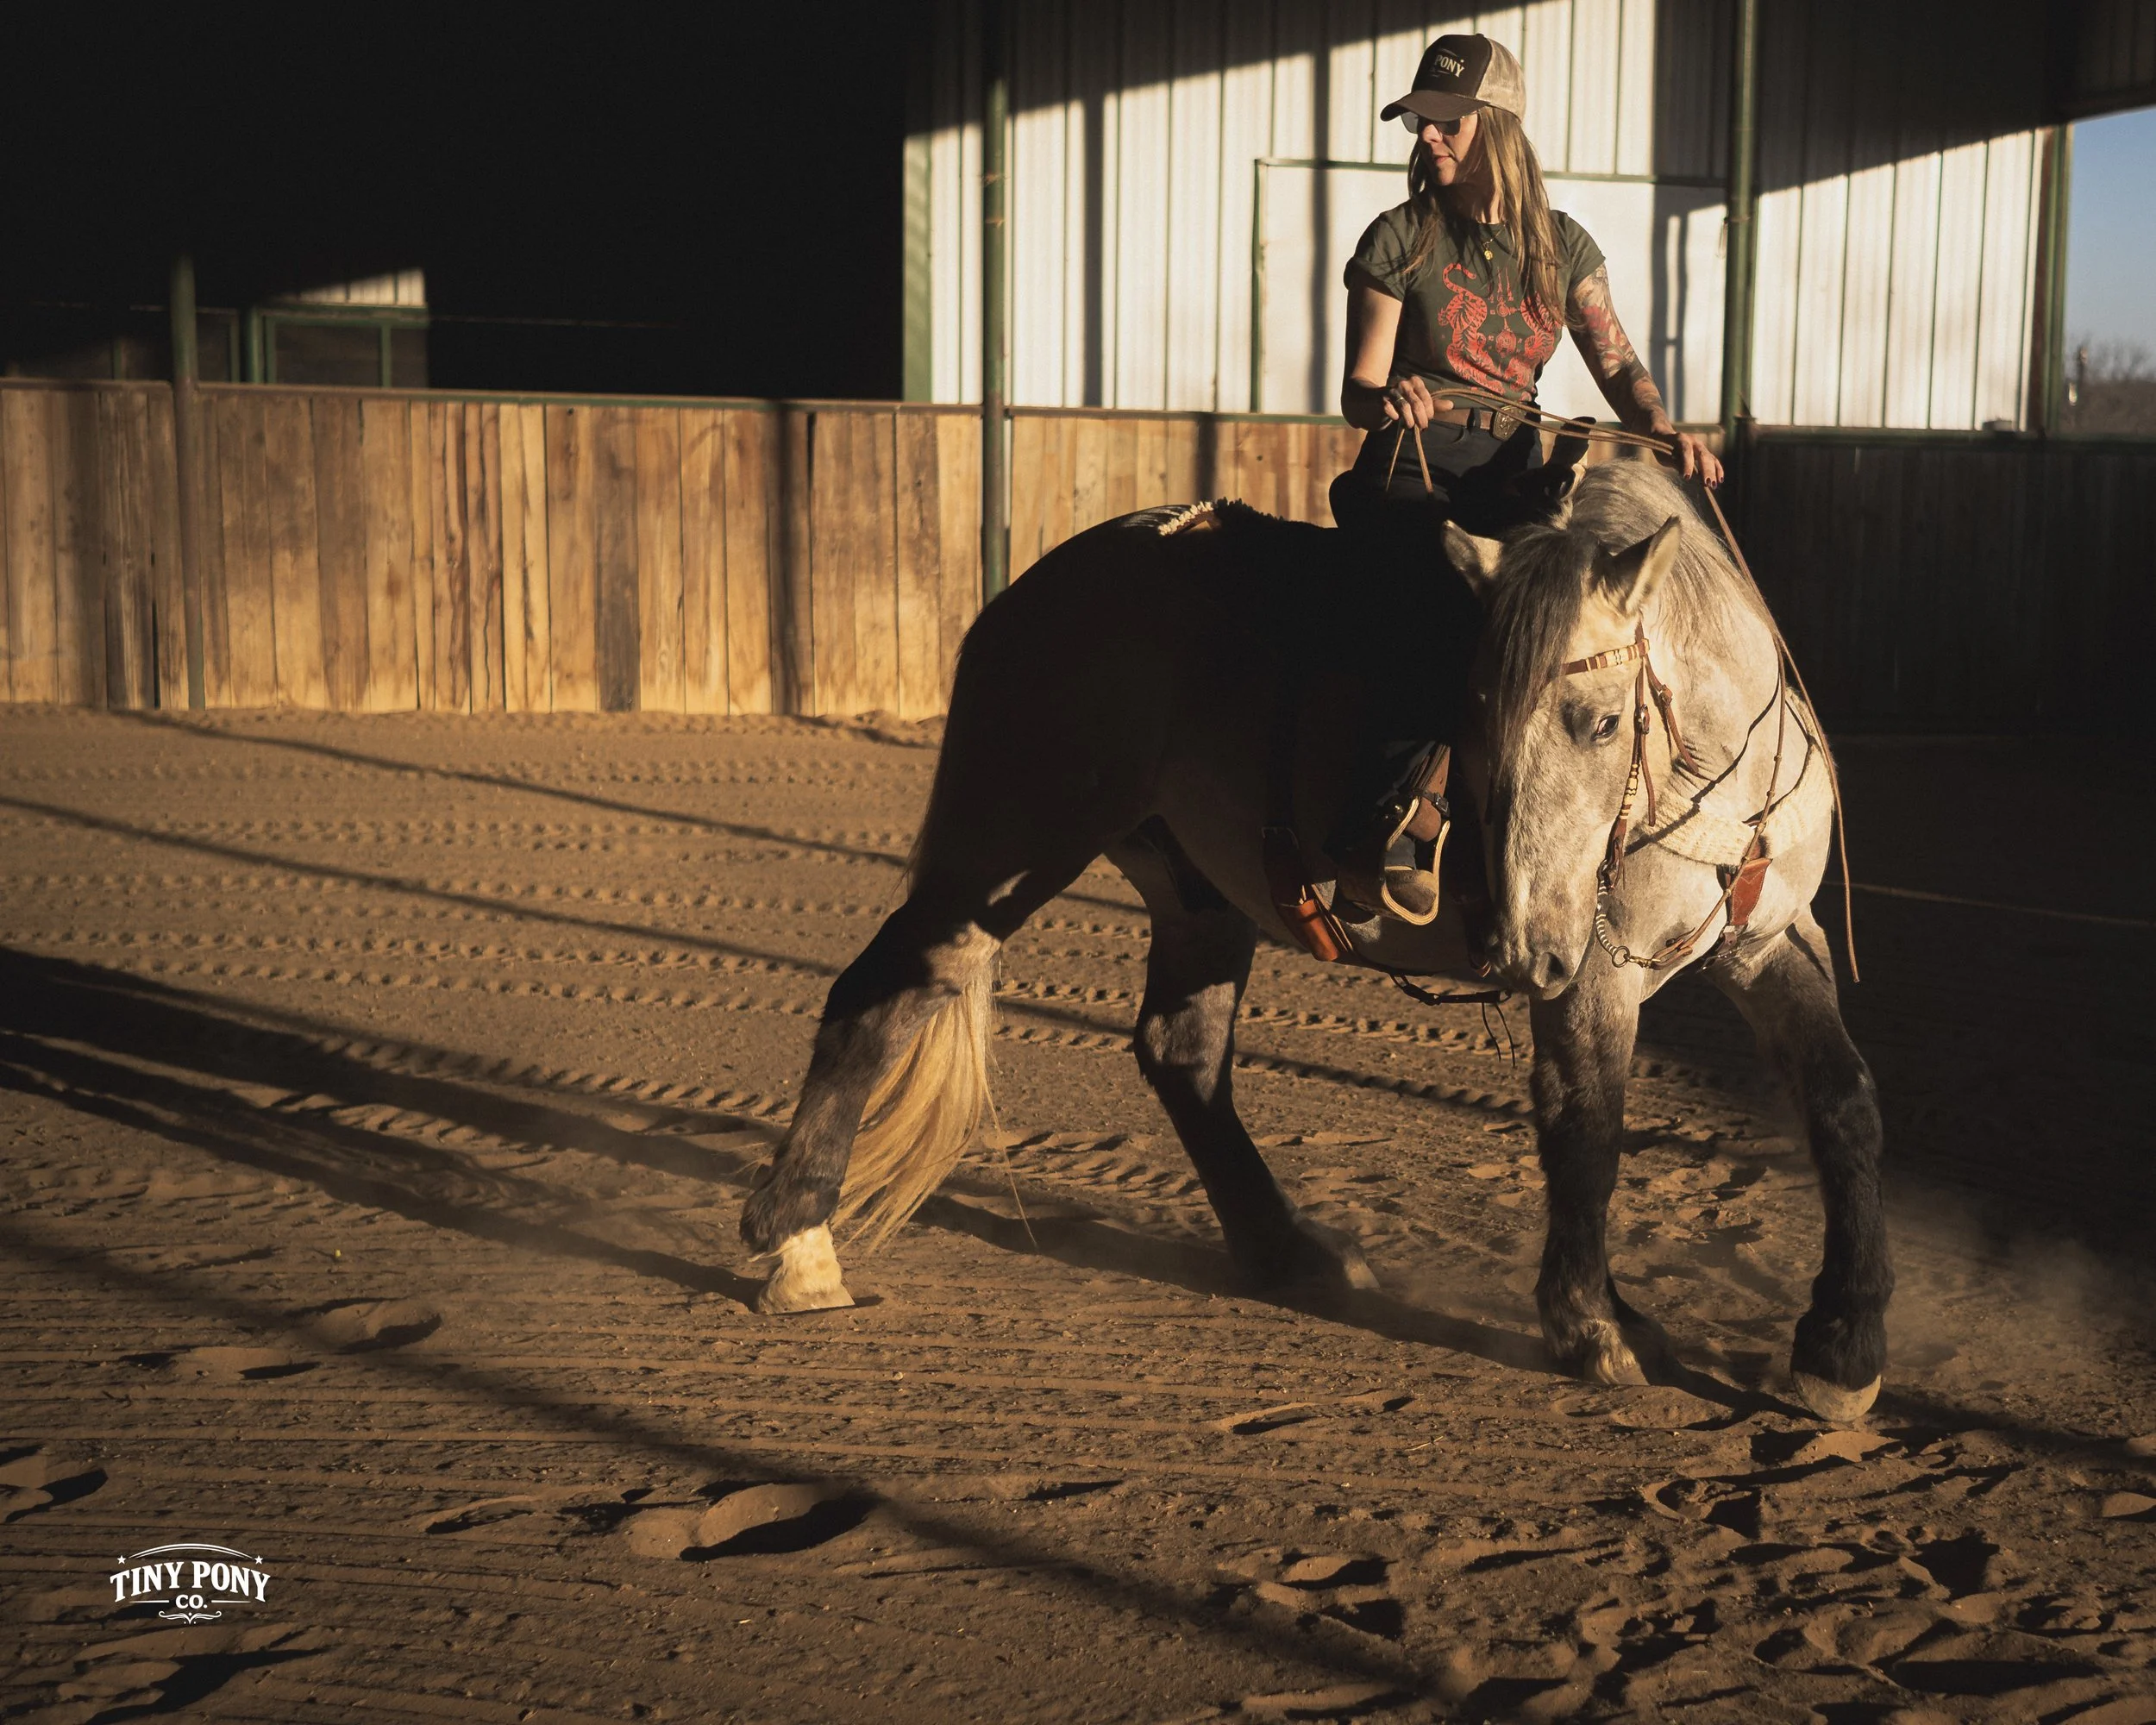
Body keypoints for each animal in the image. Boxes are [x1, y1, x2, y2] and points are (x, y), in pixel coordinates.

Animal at [738, 458, 1890, 1425]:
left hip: (1193, 892)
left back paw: (1289, 1251)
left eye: (1598, 721)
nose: (1518, 951)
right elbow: (1587, 1124)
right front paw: (1591, 1327)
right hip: (1004, 846)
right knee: (881, 993)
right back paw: (799, 1246)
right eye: (1469, 723)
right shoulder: (1595, 968)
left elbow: (1842, 1099)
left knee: (1182, 1052)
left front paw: (1841, 1348)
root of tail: (1034, 590)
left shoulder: (1766, 941)